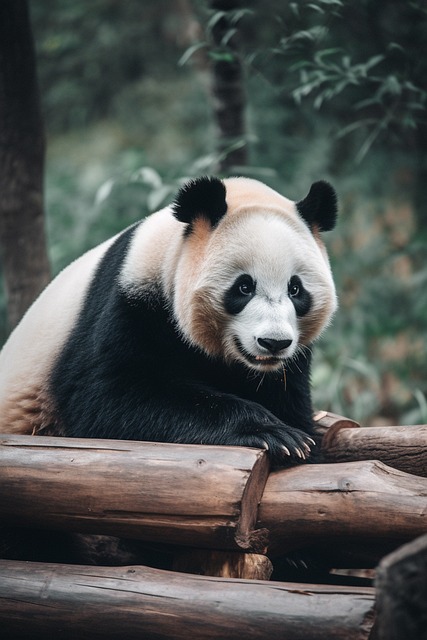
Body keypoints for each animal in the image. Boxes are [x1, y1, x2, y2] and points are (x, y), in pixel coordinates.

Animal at [0, 176, 337, 467]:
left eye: (295, 289)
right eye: (244, 287)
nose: (274, 343)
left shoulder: (290, 364)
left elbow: (289, 400)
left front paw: (301, 442)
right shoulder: (129, 302)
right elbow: (109, 398)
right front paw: (273, 433)